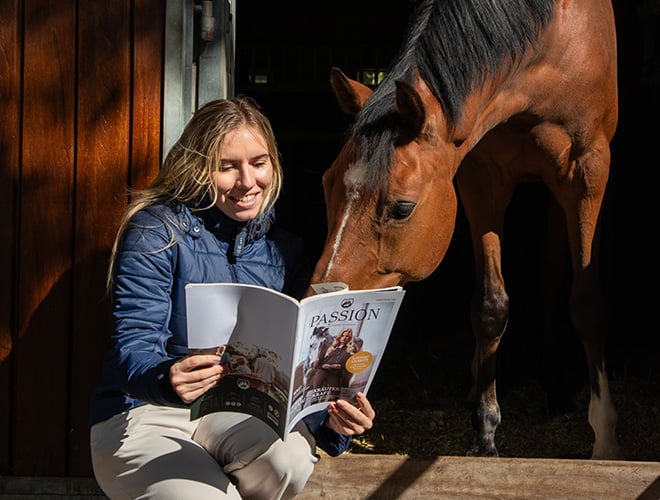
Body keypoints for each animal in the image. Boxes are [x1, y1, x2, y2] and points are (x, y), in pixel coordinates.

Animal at [309, 0, 622, 459]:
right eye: (327, 184)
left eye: (402, 208)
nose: (322, 301)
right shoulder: (480, 176)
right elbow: (491, 306)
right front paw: (486, 433)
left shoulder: (588, 171)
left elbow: (588, 305)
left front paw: (605, 437)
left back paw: (555, 385)